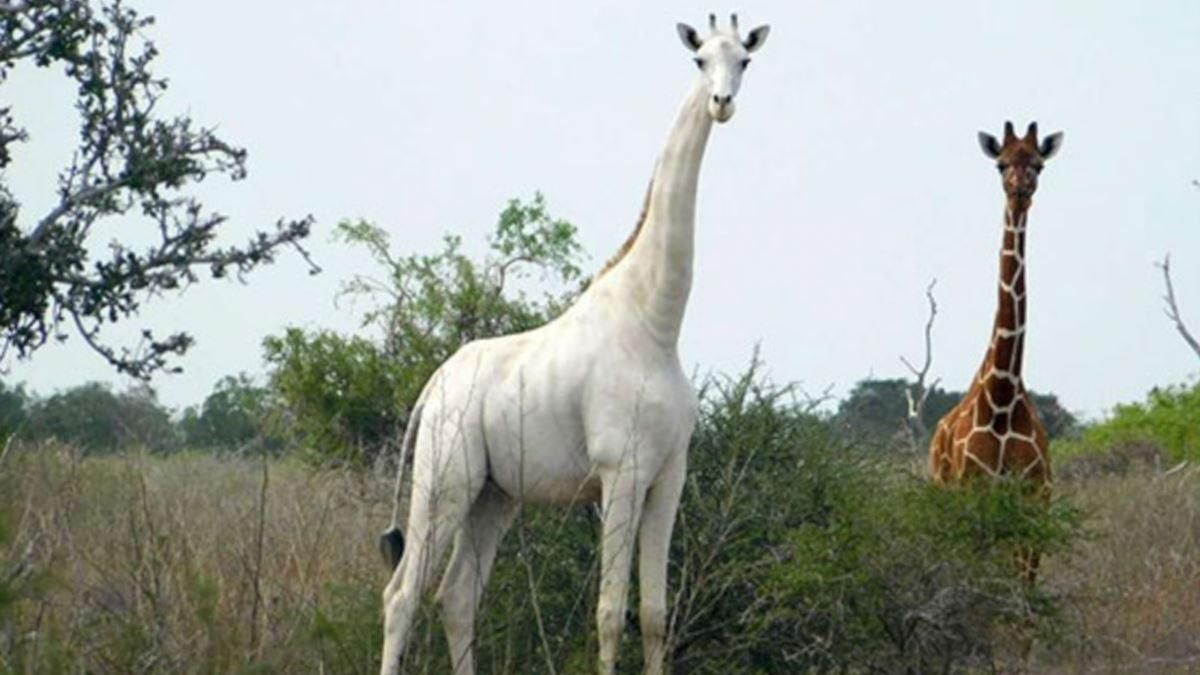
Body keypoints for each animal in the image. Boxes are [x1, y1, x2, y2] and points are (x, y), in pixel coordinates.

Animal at [376, 14, 768, 672]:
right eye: (699, 61)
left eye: (744, 60)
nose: (722, 103)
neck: (656, 324)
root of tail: (432, 387)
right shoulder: (621, 471)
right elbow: (610, 613)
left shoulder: (670, 476)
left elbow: (656, 615)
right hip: (444, 480)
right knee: (402, 594)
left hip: (495, 495)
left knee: (456, 595)